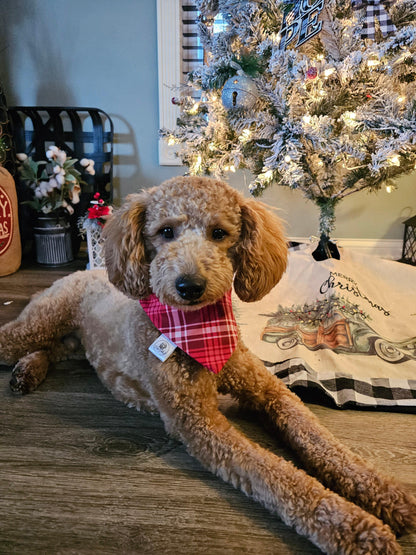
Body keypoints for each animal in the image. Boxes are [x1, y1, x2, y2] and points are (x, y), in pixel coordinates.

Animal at [0, 177, 414, 552]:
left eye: (219, 233)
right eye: (165, 232)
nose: (190, 285)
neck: (199, 332)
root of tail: (87, 270)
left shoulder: (268, 391)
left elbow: (319, 438)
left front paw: (384, 491)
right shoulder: (198, 421)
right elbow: (274, 473)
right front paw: (354, 527)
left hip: (71, 340)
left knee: (51, 350)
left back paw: (27, 372)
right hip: (43, 319)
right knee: (17, 339)